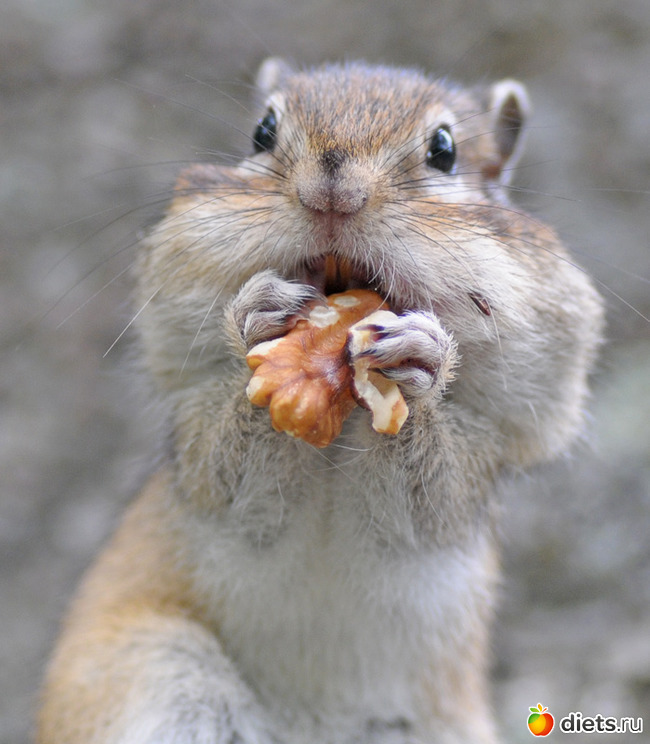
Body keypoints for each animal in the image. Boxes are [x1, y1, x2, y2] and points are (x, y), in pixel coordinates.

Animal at [35, 59, 604, 744]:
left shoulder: (468, 477)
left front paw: (422, 358)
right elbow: (234, 475)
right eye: (262, 131)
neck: (337, 441)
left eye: (445, 150)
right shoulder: (205, 468)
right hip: (164, 676)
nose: (332, 193)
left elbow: (427, 495)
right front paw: (255, 318)